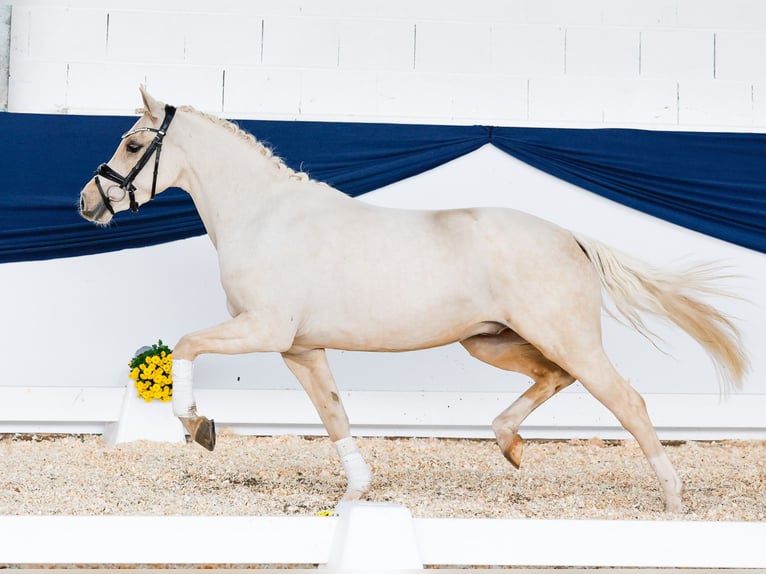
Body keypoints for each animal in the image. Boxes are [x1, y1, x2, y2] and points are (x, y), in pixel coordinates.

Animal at [79, 89, 752, 512]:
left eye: (134, 145)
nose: (88, 203)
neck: (265, 217)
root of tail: (570, 237)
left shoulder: (264, 328)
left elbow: (187, 344)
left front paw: (199, 425)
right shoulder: (300, 348)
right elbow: (333, 414)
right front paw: (355, 492)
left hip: (567, 339)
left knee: (627, 401)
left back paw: (672, 499)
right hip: (492, 341)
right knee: (551, 379)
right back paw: (509, 445)